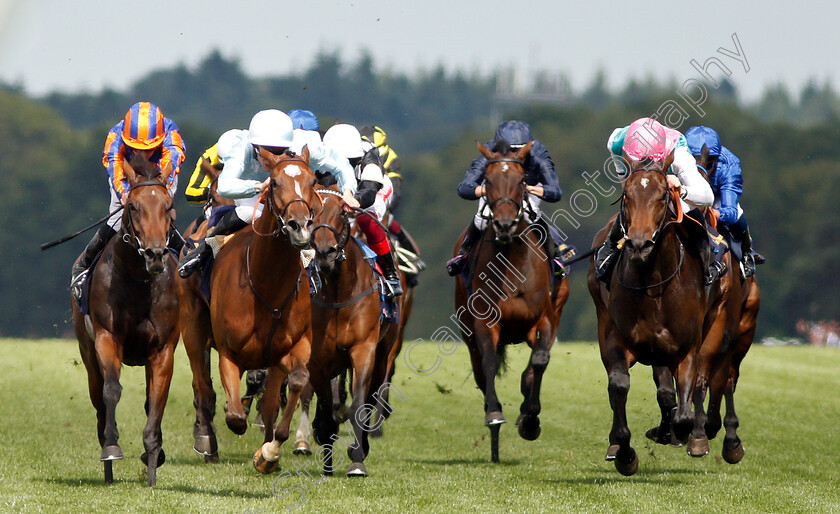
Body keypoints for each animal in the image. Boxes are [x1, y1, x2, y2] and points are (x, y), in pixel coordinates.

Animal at [71, 155, 180, 484]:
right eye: (133, 206)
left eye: (168, 205)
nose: (155, 254)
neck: (139, 282)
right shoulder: (107, 338)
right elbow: (112, 390)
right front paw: (111, 447)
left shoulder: (163, 350)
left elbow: (156, 401)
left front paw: (153, 461)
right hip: (87, 351)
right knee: (98, 397)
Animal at [179, 144, 320, 472]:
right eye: (275, 183)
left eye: (312, 181)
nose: (299, 227)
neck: (267, 282)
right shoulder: (229, 351)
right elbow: (233, 414)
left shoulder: (293, 346)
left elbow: (291, 386)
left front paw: (269, 452)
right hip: (192, 327)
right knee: (202, 385)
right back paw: (206, 440)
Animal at [452, 139, 572, 460]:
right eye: (488, 180)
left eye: (521, 181)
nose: (505, 225)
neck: (512, 262)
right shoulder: (485, 322)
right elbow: (490, 363)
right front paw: (495, 414)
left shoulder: (544, 319)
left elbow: (540, 362)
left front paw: (530, 420)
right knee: (481, 373)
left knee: (533, 366)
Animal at [588, 158, 732, 474]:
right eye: (626, 195)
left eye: (663, 196)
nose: (639, 244)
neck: (652, 284)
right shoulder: (616, 339)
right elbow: (619, 386)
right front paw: (625, 453)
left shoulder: (686, 348)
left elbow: (683, 409)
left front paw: (677, 432)